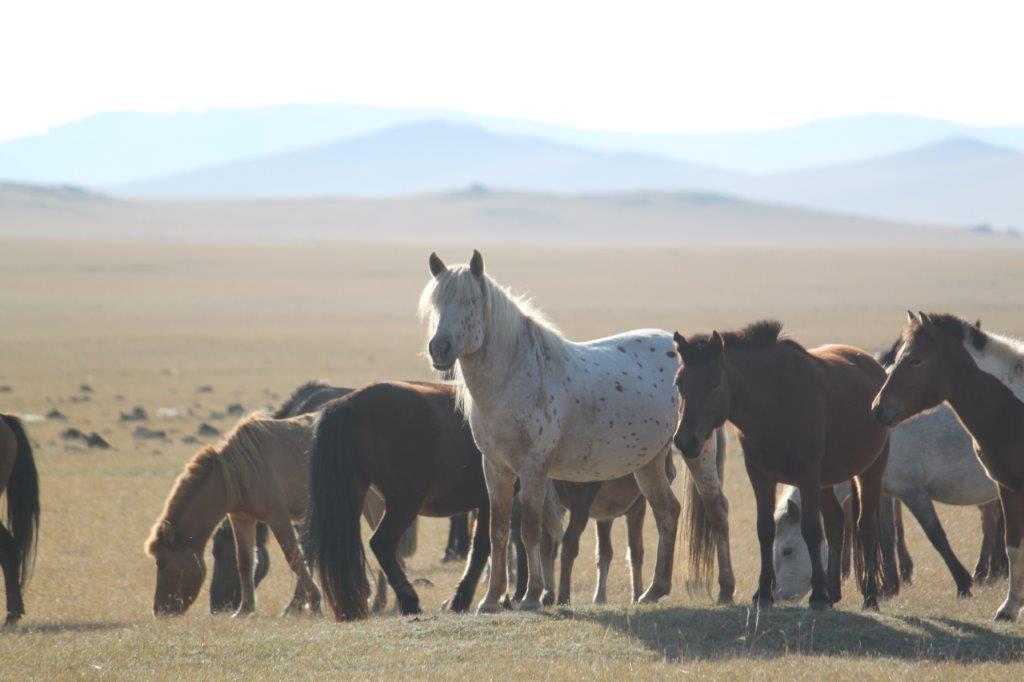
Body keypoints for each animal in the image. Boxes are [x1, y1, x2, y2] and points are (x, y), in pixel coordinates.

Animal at [417, 250, 729, 610]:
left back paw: (726, 589)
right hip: (649, 461)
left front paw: (532, 596)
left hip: (698, 452)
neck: (514, 375)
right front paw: (491, 599)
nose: (439, 349)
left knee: (716, 509)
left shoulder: (534, 468)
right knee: (668, 512)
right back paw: (653, 591)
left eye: (471, 300)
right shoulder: (495, 467)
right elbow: (498, 532)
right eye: (436, 303)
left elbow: (531, 530)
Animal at [671, 321, 888, 606]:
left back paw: (869, 595)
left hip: (870, 472)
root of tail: (873, 366)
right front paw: (763, 593)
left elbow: (810, 530)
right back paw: (833, 591)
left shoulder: (808, 476)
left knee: (866, 527)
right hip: (826, 482)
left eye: (715, 383)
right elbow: (765, 530)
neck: (775, 402)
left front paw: (817, 596)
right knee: (835, 522)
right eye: (679, 382)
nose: (685, 441)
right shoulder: (760, 476)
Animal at [872, 311, 1024, 618]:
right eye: (898, 356)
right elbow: (1013, 545)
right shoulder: (1009, 488)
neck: (1014, 410)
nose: (878, 407)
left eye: (916, 360)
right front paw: (1009, 607)